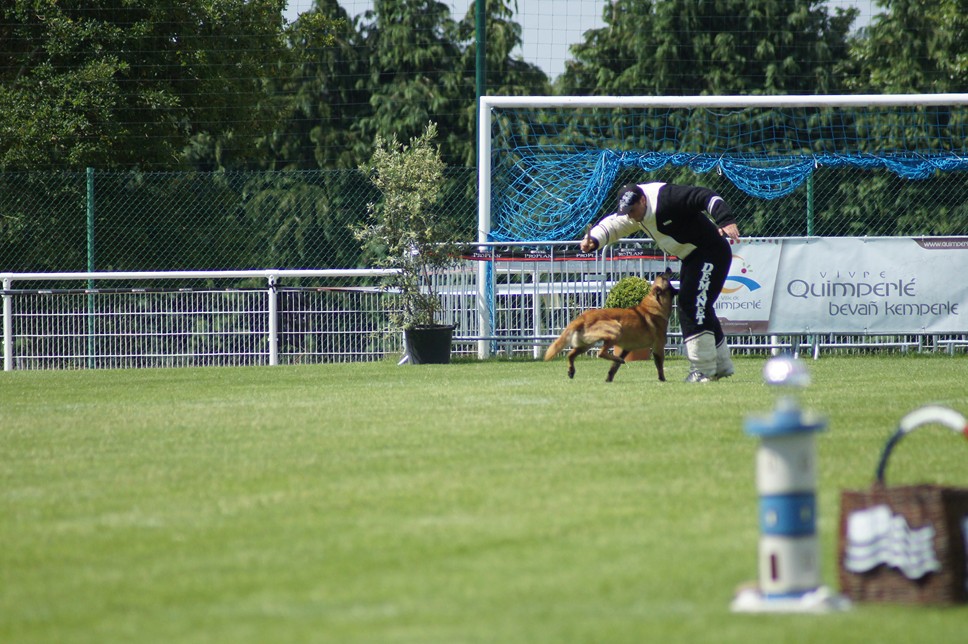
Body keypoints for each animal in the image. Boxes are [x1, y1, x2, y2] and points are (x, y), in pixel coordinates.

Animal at [544, 272, 680, 382]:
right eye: (664, 277)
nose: (668, 268)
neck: (654, 305)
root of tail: (584, 317)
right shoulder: (658, 347)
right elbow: (660, 366)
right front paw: (663, 379)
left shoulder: (625, 349)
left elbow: (613, 368)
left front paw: (608, 379)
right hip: (616, 330)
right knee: (601, 353)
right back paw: (618, 360)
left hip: (586, 344)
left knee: (570, 355)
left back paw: (571, 371)